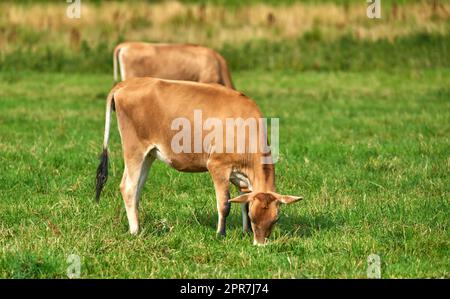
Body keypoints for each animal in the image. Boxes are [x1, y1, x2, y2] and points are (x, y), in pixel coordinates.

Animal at [95, 78, 302, 246]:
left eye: (275, 219)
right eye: (253, 217)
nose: (260, 245)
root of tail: (127, 83)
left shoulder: (242, 178)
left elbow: (243, 200)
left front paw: (245, 232)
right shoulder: (218, 166)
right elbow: (225, 204)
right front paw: (220, 234)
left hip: (149, 155)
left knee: (137, 189)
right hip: (134, 149)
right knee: (128, 187)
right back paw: (135, 231)